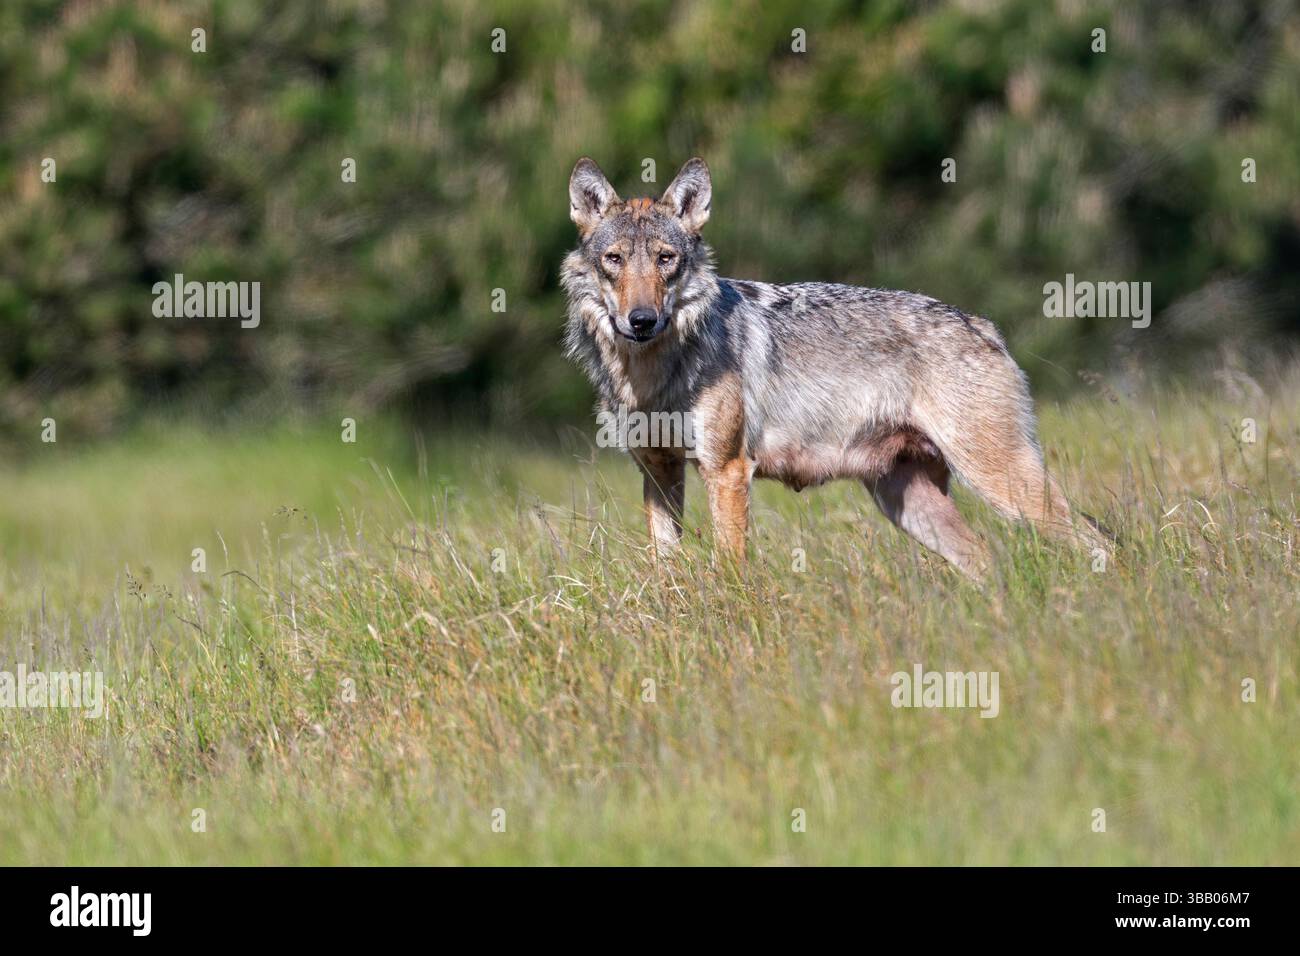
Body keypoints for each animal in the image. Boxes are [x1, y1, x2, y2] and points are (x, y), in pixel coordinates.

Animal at [562, 157, 1106, 578]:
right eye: (614, 259)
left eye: (666, 259)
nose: (642, 320)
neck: (652, 373)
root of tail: (980, 324)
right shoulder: (658, 471)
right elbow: (665, 567)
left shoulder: (728, 471)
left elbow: (730, 568)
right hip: (908, 503)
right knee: (986, 558)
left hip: (1002, 482)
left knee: (1099, 542)